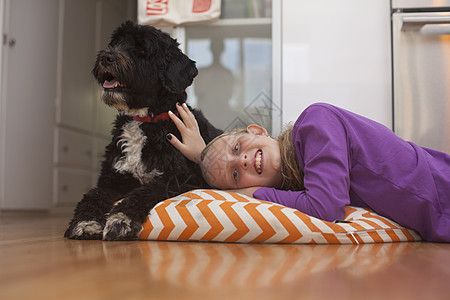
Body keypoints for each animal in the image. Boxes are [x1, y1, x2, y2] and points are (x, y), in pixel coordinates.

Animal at [64, 20, 222, 241]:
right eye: (115, 43)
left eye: (141, 50)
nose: (106, 56)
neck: (143, 121)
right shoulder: (111, 179)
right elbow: (93, 195)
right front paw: (86, 222)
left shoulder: (181, 179)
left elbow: (144, 192)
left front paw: (121, 219)